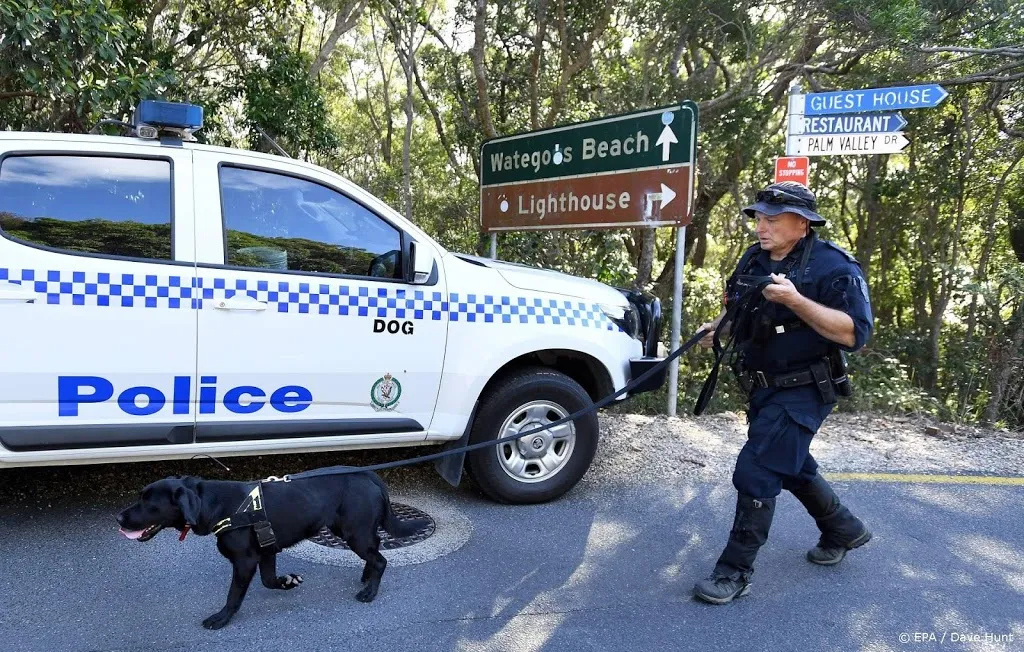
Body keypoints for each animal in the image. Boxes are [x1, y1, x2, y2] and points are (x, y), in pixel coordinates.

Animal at [116, 464, 423, 626]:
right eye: (140, 497)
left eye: (148, 503)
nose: (118, 518)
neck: (213, 504)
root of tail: (367, 474)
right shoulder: (267, 551)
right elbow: (268, 580)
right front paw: (288, 581)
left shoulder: (245, 561)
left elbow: (234, 596)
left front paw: (221, 618)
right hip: (349, 530)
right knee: (376, 547)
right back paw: (366, 575)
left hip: (353, 532)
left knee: (381, 559)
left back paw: (370, 590)